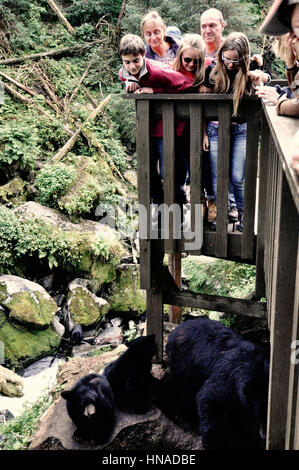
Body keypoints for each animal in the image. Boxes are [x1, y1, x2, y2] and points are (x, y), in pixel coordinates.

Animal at [166, 318, 270, 450]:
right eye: (260, 412)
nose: (265, 435)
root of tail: (176, 329)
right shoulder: (227, 377)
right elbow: (208, 398)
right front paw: (211, 442)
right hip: (184, 366)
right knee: (183, 391)